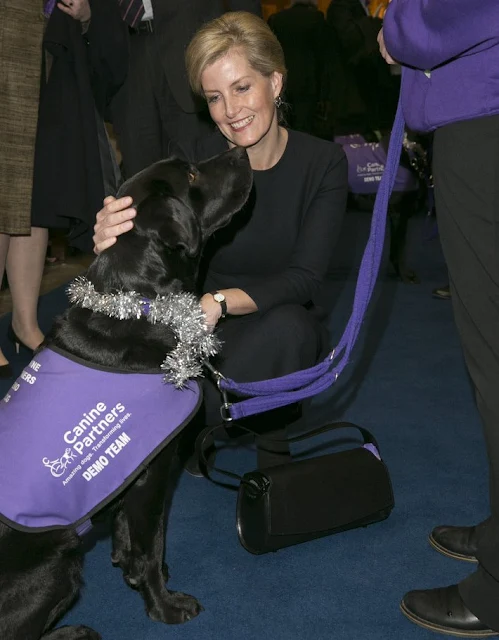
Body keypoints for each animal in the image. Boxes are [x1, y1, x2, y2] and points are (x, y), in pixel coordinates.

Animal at [0, 146, 252, 640]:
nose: (239, 149)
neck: (138, 304)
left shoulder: (129, 467)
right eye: (191, 174)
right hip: (57, 563)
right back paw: (75, 632)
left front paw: (129, 566)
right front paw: (164, 605)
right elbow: (152, 543)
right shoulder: (153, 473)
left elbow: (128, 533)